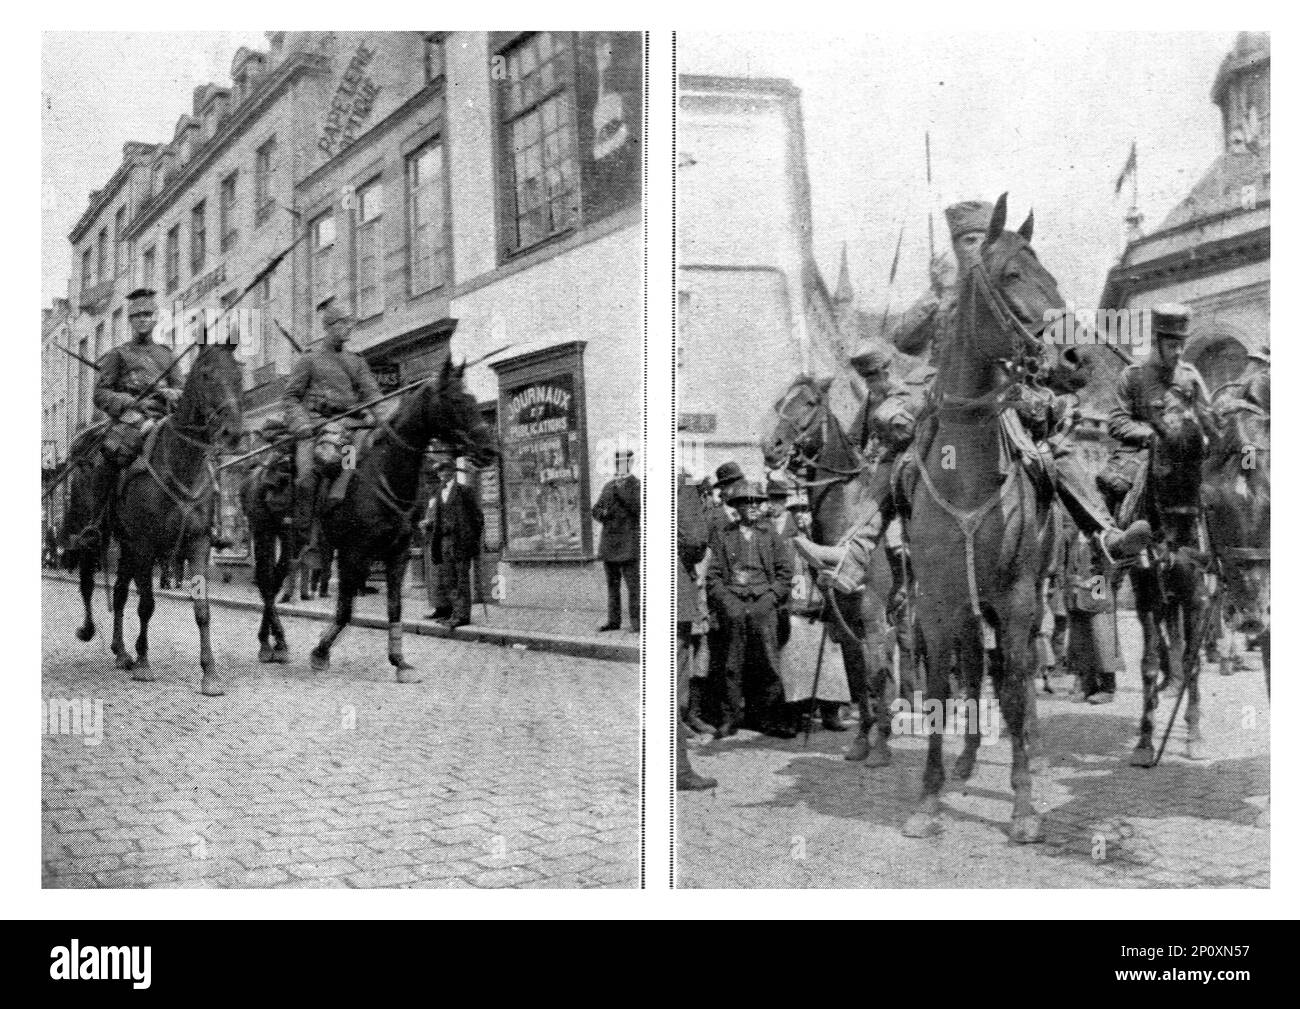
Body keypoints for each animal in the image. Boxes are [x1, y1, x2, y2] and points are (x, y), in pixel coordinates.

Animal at [296, 358, 496, 681]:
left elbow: (394, 606)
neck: (382, 475)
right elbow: (345, 609)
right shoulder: (353, 553)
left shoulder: (397, 553)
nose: (489, 450)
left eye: (474, 399)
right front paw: (320, 652)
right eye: (455, 401)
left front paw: (400, 662)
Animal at [759, 369, 925, 764]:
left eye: (809, 403)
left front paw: (880, 747)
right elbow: (857, 677)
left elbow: (875, 676)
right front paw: (862, 741)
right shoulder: (843, 621)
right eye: (781, 402)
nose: (771, 447)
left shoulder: (872, 617)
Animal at [904, 193, 1066, 837]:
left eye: (1051, 275)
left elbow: (1018, 684)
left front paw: (1022, 805)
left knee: (1015, 675)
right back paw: (967, 758)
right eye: (1012, 275)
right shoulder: (934, 601)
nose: (1065, 355)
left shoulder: (1017, 596)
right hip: (968, 607)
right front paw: (928, 798)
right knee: (973, 668)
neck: (967, 468)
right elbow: (939, 687)